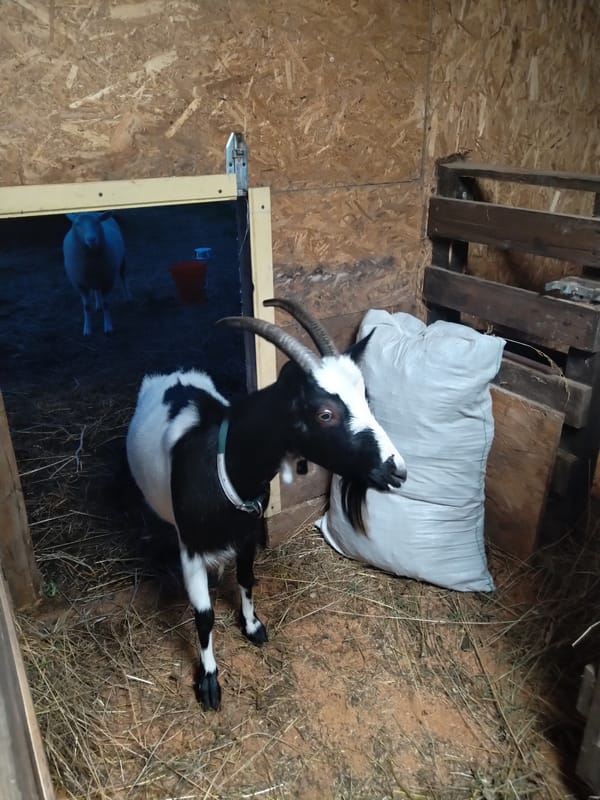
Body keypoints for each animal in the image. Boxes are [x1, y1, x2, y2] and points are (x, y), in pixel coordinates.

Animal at [126, 297, 407, 710]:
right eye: (324, 413)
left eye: (366, 399)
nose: (397, 471)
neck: (223, 464)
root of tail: (174, 373)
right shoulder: (191, 548)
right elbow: (204, 615)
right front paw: (209, 682)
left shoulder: (247, 533)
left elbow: (247, 579)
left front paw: (252, 625)